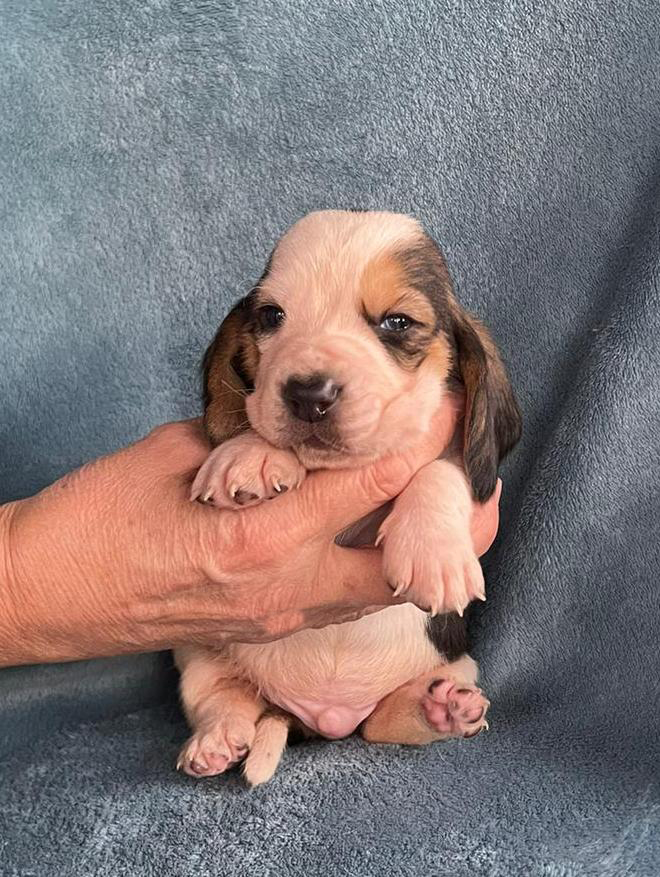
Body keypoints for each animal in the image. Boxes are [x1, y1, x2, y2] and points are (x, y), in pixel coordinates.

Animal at [177, 210, 520, 788]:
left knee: (385, 726)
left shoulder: (455, 451)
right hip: (196, 650)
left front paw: (434, 553)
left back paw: (442, 710)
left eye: (397, 323)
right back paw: (217, 739)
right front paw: (250, 453)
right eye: (271, 316)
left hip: (455, 663)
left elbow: (440, 470)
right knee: (224, 699)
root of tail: (325, 718)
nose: (308, 394)